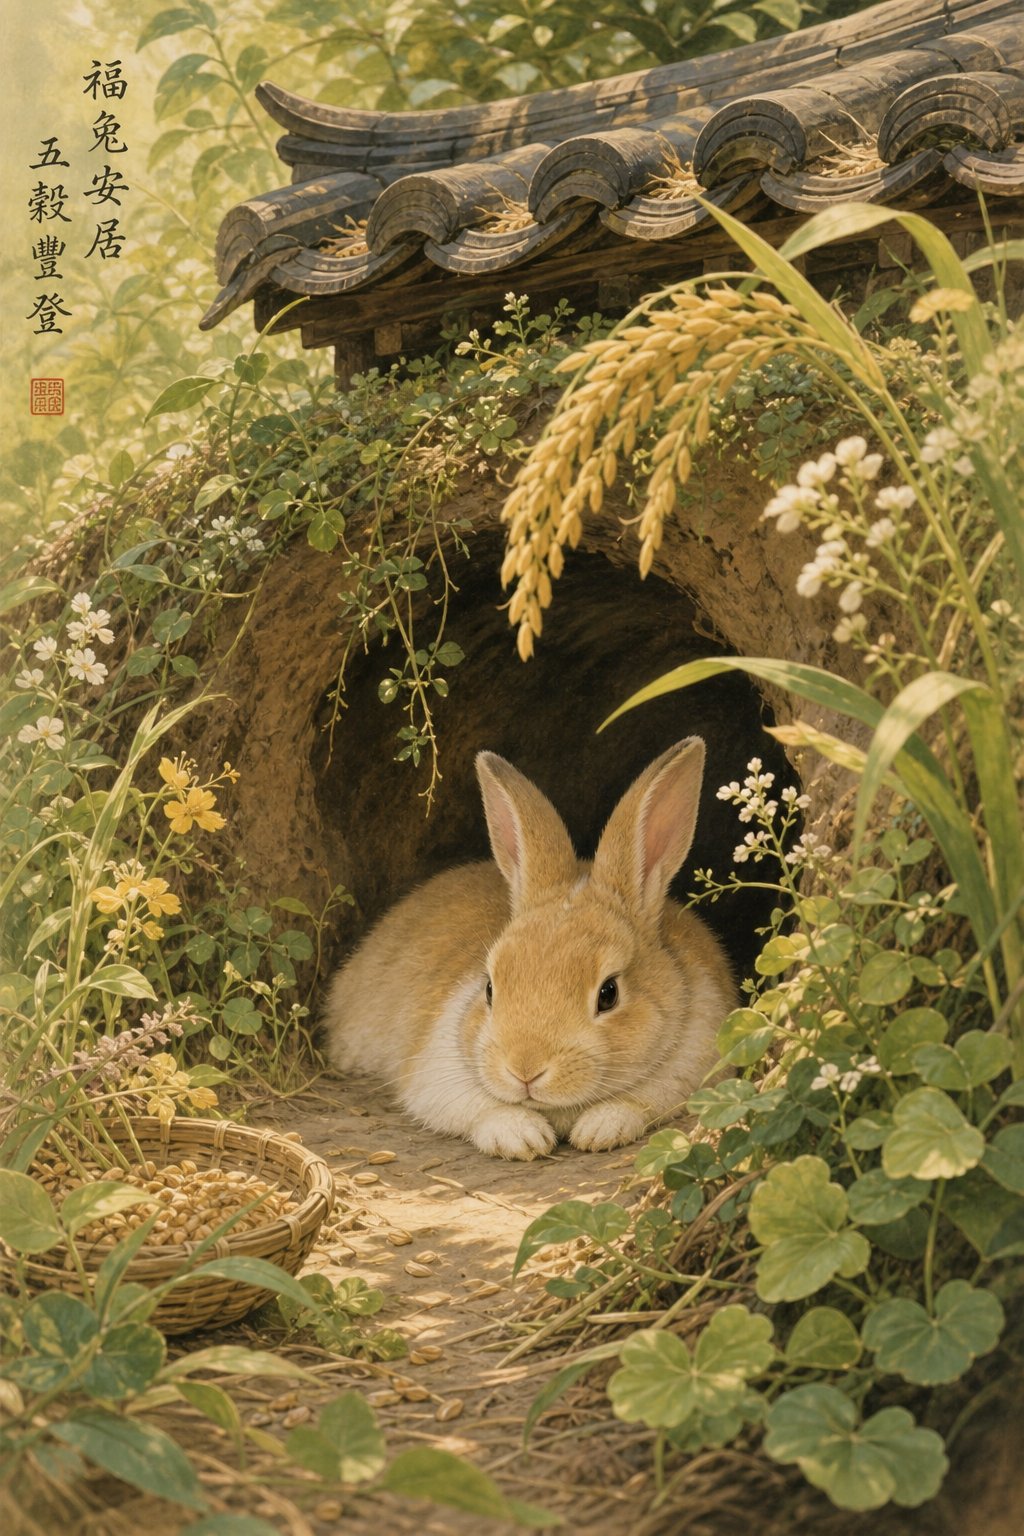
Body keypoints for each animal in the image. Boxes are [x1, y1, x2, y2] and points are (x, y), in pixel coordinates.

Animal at [321, 737, 737, 1159]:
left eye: (609, 994)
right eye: (489, 988)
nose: (524, 1070)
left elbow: (637, 1103)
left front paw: (599, 1130)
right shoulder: (436, 1072)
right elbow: (483, 1110)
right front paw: (522, 1138)